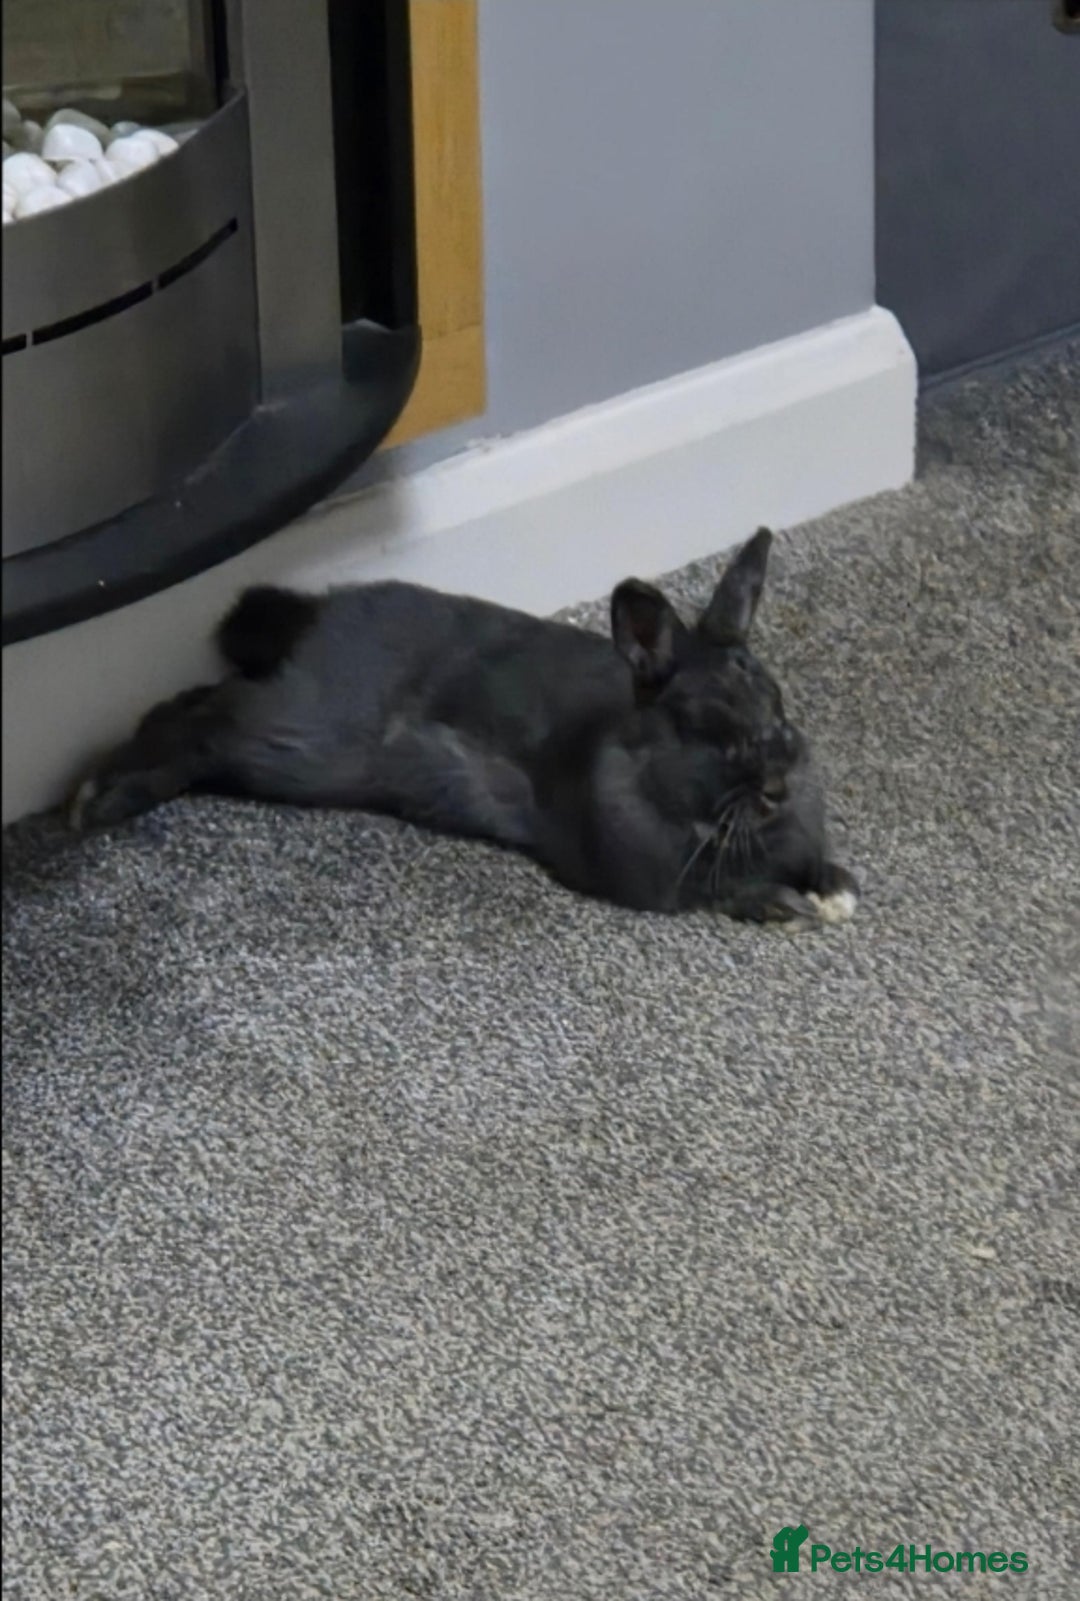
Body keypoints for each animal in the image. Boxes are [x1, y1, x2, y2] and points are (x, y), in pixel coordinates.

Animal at [70, 528, 857, 926]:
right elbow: (718, 893)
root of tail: (318, 619)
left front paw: (836, 885)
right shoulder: (656, 881)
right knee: (199, 724)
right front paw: (789, 904)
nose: (781, 785)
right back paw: (97, 800)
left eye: (777, 703)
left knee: (195, 702)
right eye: (705, 727)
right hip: (305, 744)